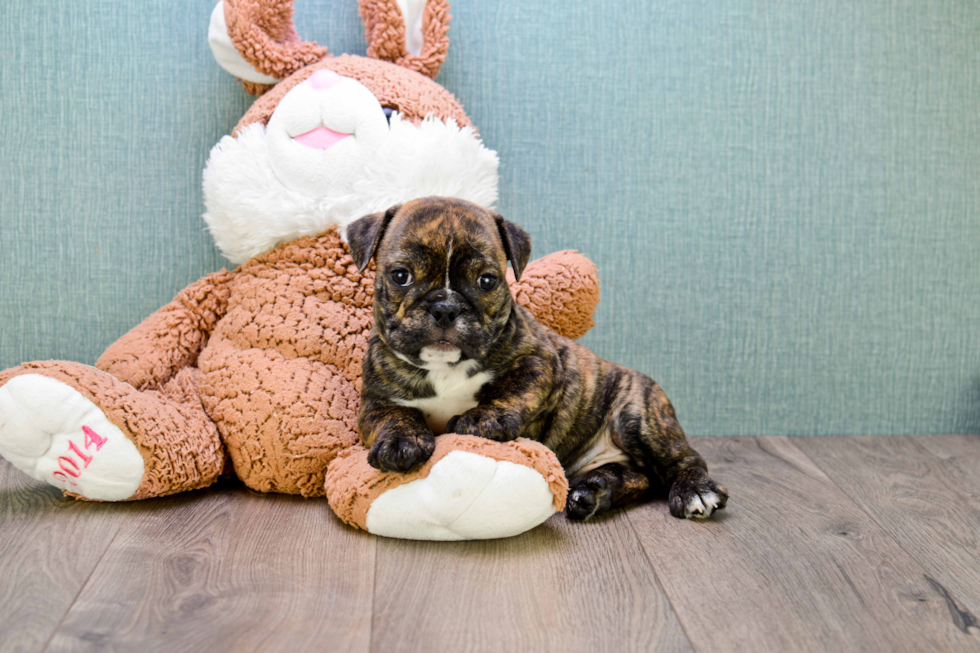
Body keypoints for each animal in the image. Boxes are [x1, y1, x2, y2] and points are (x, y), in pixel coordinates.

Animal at [346, 195, 728, 520]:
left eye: (487, 281)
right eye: (401, 276)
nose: (446, 307)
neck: (445, 366)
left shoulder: (542, 362)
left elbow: (515, 389)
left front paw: (483, 418)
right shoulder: (376, 400)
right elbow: (392, 416)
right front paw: (400, 441)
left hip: (638, 418)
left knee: (683, 461)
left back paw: (694, 490)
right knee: (639, 478)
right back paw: (595, 492)